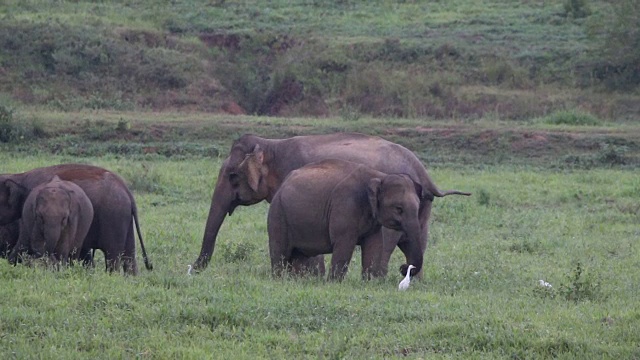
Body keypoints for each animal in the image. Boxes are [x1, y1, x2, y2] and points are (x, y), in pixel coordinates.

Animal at [0, 162, 152, 274]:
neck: (19, 177)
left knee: (113, 255)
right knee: (129, 256)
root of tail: (127, 190)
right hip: (125, 219)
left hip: (114, 218)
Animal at [268, 160, 424, 282]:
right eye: (399, 209)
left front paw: (369, 283)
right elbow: (345, 243)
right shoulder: (346, 204)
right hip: (278, 213)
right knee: (280, 252)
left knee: (299, 256)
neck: (380, 176)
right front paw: (333, 283)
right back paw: (279, 279)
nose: (403, 268)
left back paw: (297, 281)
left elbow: (374, 245)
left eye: (418, 206)